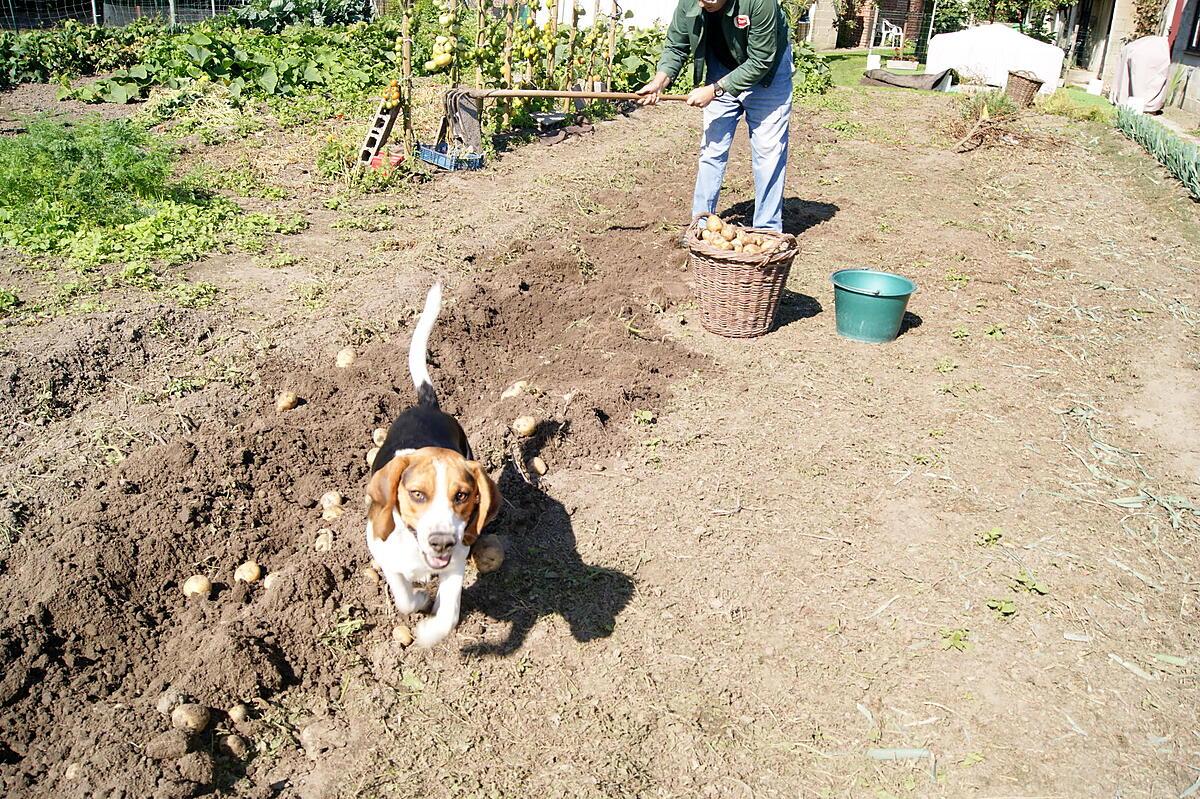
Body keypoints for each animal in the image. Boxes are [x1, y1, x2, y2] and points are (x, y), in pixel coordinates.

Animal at [362, 283, 499, 643]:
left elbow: (449, 614)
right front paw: (420, 598)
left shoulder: (457, 560)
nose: (442, 541)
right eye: (417, 495)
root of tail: (427, 405)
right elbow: (404, 596)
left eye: (462, 495)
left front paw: (430, 631)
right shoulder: (381, 550)